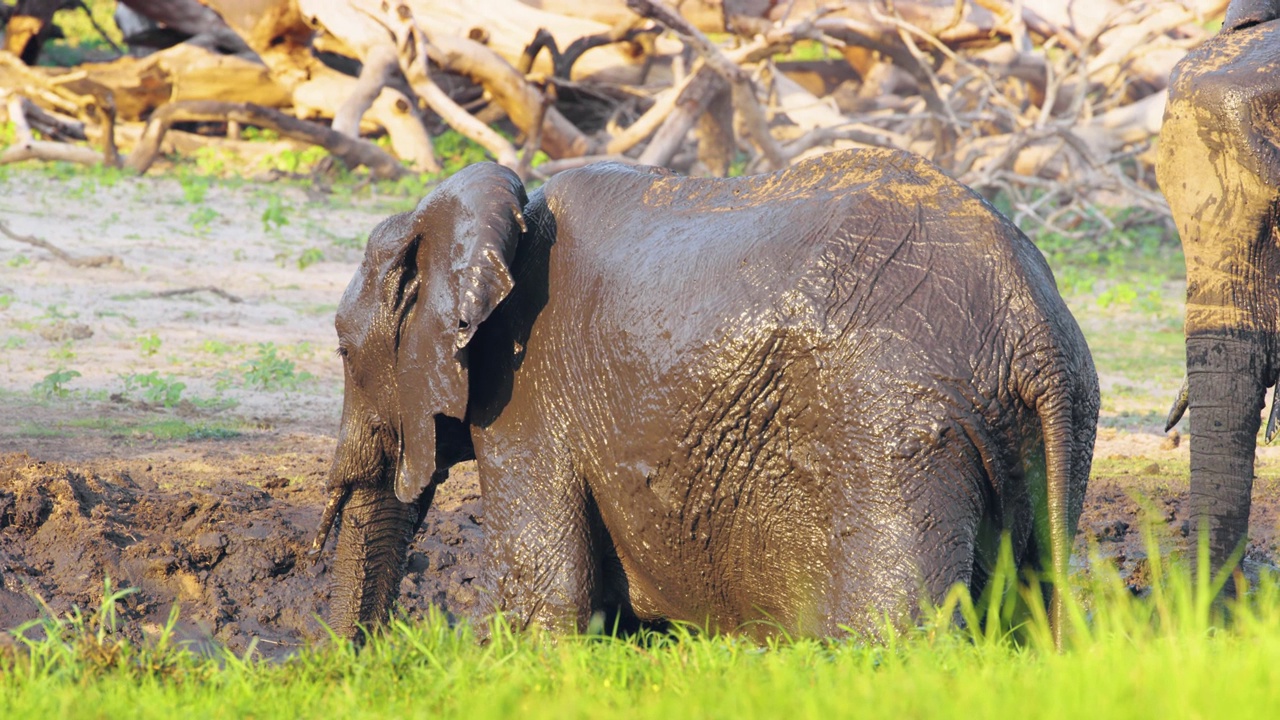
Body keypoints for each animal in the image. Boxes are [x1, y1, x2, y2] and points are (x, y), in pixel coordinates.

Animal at [312, 148, 1100, 640]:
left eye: (345, 353)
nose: (353, 665)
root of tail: (1031, 325)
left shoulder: (525, 393)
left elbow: (549, 602)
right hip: (1052, 435)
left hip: (891, 434)